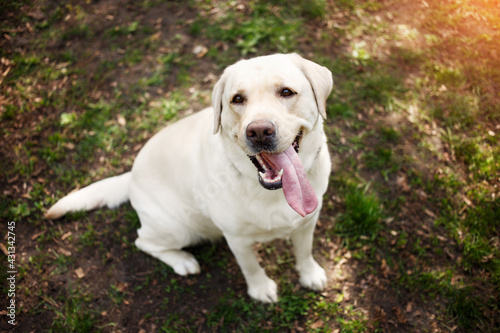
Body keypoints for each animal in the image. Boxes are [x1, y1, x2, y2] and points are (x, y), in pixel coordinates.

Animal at [47, 53, 334, 302]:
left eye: (286, 92)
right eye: (237, 99)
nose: (259, 131)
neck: (270, 191)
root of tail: (130, 176)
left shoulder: (308, 222)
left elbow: (304, 251)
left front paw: (309, 274)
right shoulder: (237, 239)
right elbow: (250, 266)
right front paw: (260, 289)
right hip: (178, 228)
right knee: (143, 241)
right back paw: (182, 261)